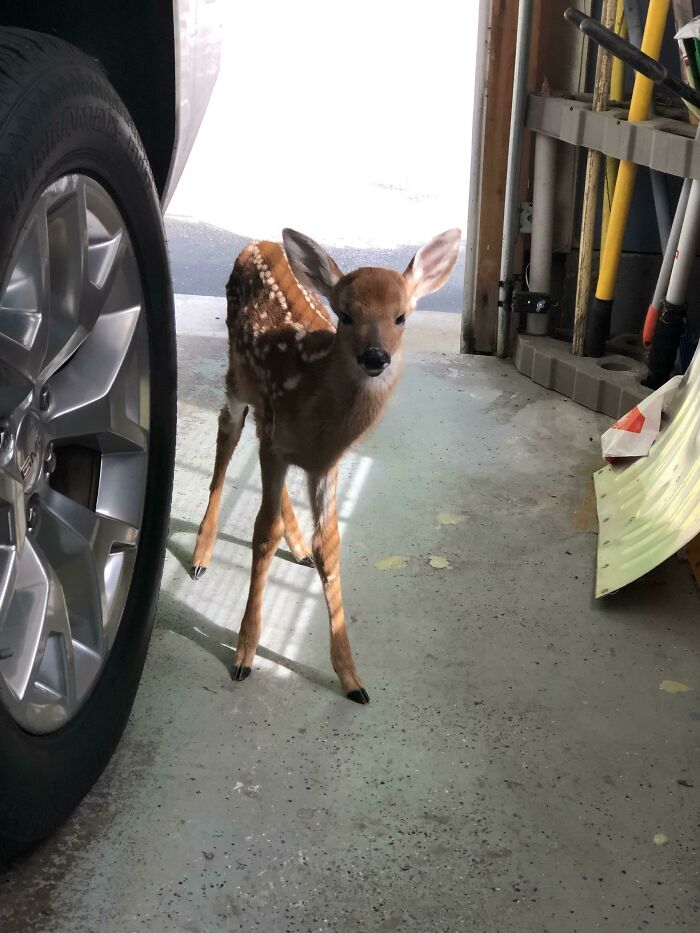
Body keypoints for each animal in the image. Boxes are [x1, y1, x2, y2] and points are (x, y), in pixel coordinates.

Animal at [190, 227, 461, 703]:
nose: (375, 357)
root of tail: (258, 243)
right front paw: (244, 656)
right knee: (227, 433)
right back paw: (202, 553)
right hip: (237, 377)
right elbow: (262, 533)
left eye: (401, 317)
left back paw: (296, 547)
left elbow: (329, 546)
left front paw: (352, 678)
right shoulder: (277, 440)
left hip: (263, 412)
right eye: (346, 315)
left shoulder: (325, 464)